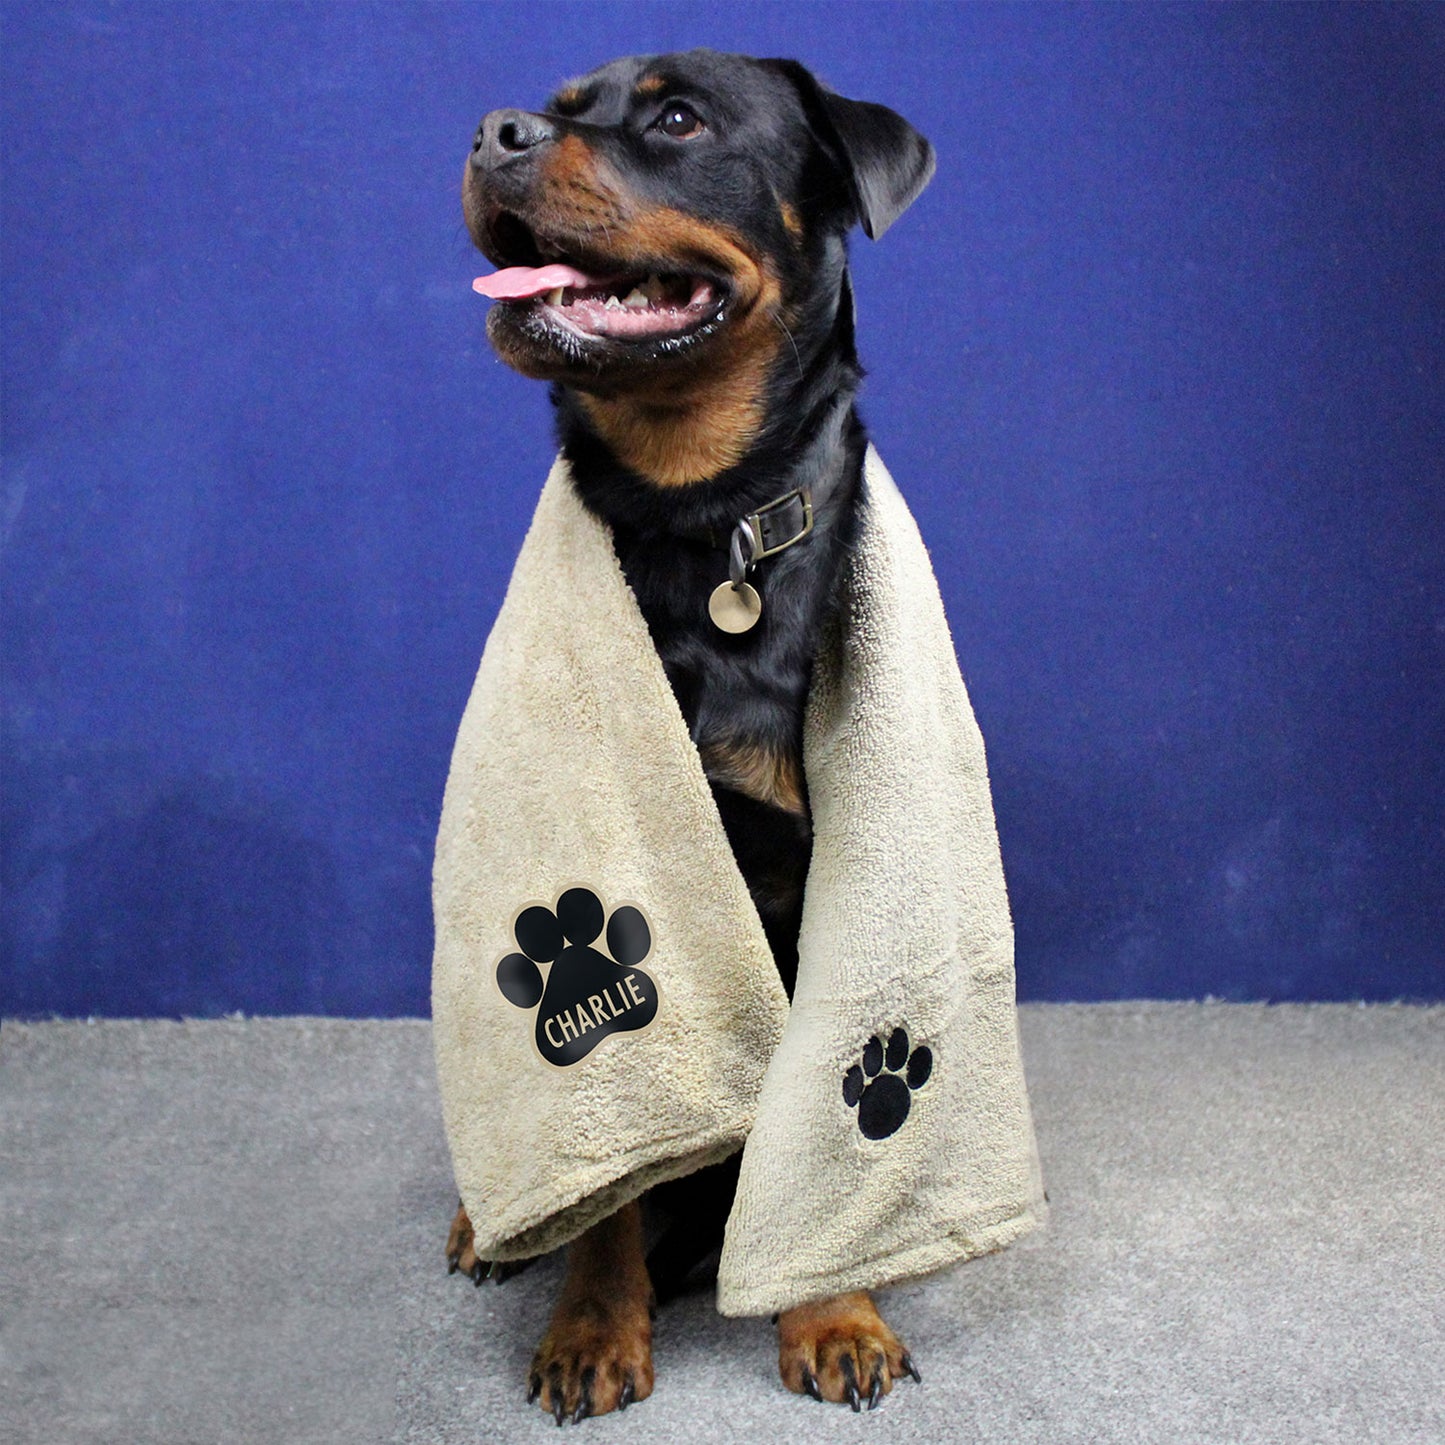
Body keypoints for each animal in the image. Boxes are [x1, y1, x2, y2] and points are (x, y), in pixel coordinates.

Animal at [442, 45, 936, 1421]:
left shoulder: (826, 876)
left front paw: (832, 1309)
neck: (698, 518)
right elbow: (617, 1161)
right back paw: (484, 1220)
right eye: (561, 108)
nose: (496, 130)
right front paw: (593, 1324)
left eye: (676, 118)